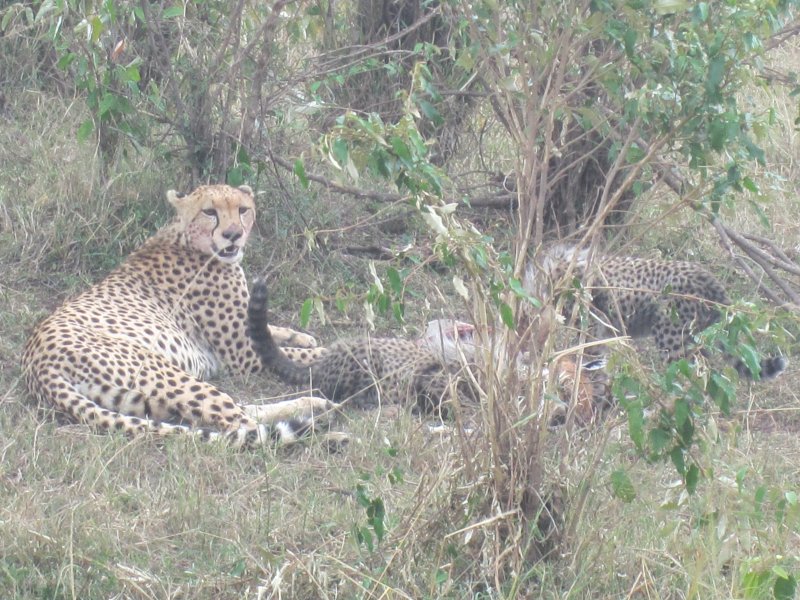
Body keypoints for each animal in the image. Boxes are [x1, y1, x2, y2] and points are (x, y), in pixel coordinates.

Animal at [21, 185, 344, 448]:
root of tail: (35, 363)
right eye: (210, 212)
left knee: (235, 413)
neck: (184, 237)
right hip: (165, 373)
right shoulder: (244, 357)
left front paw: (302, 335)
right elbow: (301, 355)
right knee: (243, 426)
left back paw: (315, 406)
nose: (233, 235)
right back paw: (326, 434)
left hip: (137, 399)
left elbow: (274, 332)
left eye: (242, 210)